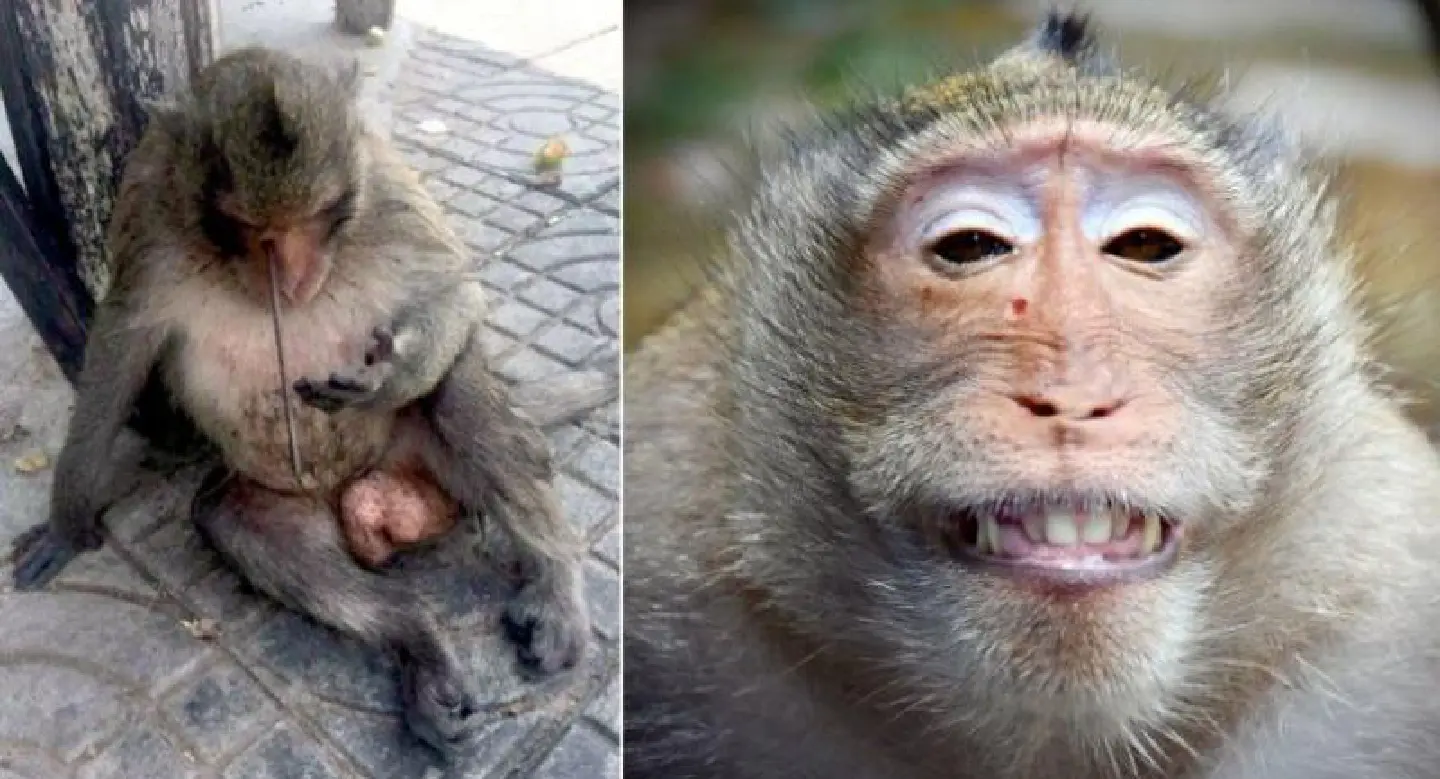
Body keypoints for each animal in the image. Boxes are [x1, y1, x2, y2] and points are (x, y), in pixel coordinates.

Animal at [6, 46, 596, 757]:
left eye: (317, 218)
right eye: (253, 231)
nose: (289, 277)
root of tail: (362, 488)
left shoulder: (383, 184)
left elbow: (454, 287)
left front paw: (390, 376)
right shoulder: (147, 208)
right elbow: (118, 354)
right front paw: (68, 521)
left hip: (415, 446)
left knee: (459, 396)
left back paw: (554, 578)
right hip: (283, 498)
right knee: (237, 524)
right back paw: (416, 636)